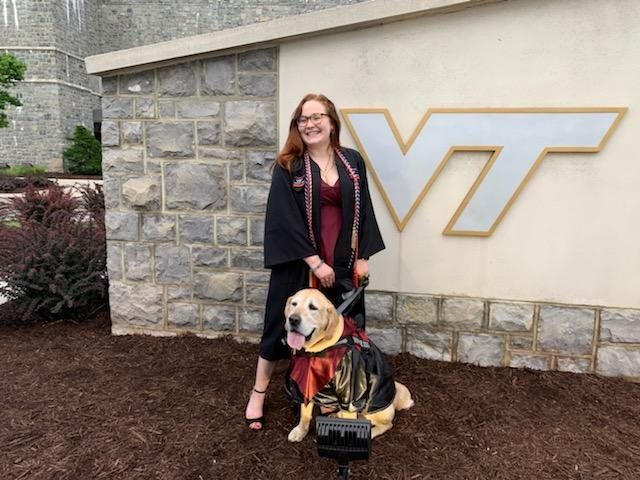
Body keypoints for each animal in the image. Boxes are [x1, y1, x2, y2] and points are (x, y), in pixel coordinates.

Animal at [282, 288, 412, 442]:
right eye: (294, 304)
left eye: (313, 307)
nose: (293, 319)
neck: (317, 351)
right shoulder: (306, 384)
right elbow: (305, 415)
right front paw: (300, 431)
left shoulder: (349, 395)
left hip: (371, 407)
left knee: (386, 424)